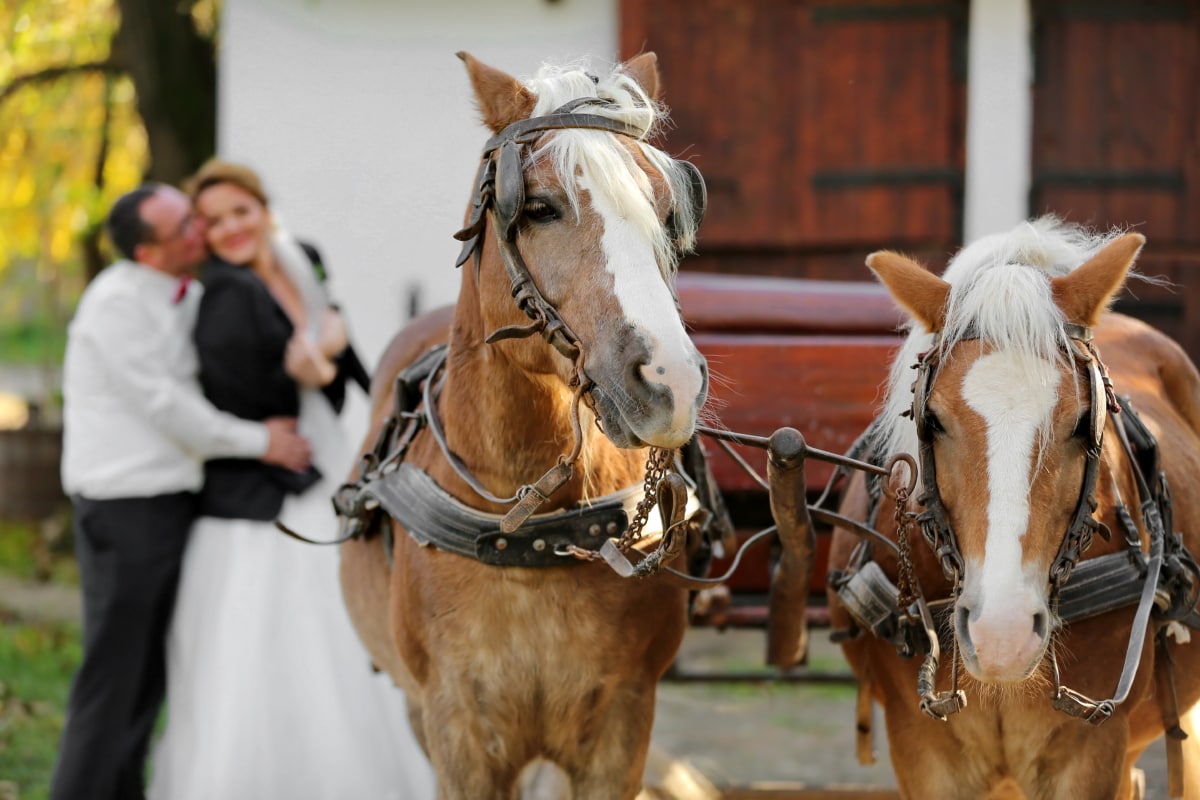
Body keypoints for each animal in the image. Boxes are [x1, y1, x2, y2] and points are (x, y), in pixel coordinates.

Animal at [336, 53, 710, 796]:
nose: (671, 384)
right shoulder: (457, 730)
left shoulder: (621, 725)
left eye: (665, 209)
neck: (531, 532)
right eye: (537, 207)